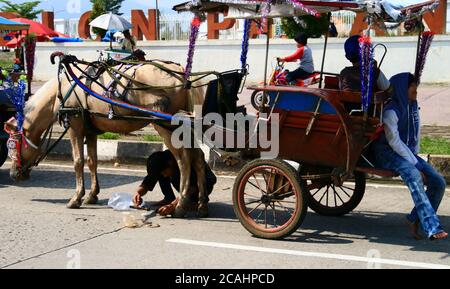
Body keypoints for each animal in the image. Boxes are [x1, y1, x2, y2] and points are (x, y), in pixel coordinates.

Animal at [4, 55, 210, 216]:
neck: (60, 92)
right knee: (198, 157)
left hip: (165, 125)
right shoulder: (90, 131)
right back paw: (201, 203)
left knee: (183, 159)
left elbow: (78, 161)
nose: (13, 174)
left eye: (11, 144)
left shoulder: (75, 126)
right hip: (184, 125)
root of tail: (182, 73)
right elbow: (92, 161)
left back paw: (180, 204)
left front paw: (76, 198)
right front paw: (92, 195)